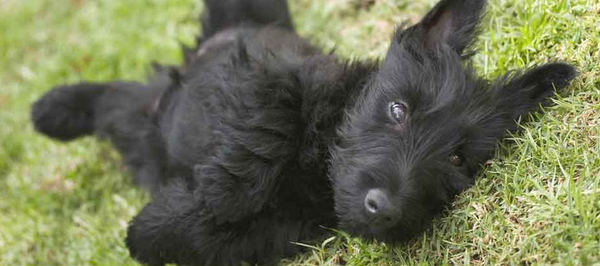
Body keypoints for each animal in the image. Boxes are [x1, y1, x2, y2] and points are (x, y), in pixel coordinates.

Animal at [31, 0, 576, 264]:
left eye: (459, 160)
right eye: (397, 109)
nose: (384, 210)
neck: (318, 172)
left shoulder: (284, 232)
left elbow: (211, 237)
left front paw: (150, 232)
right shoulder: (259, 75)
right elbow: (266, 127)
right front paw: (204, 199)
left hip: (142, 125)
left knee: (117, 103)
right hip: (166, 103)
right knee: (117, 96)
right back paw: (49, 108)